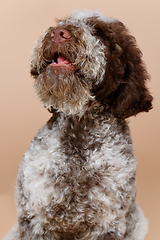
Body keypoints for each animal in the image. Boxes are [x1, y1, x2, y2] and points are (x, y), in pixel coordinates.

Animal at [3, 9, 152, 240]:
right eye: (64, 22)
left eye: (100, 34)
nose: (57, 33)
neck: (78, 127)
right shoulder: (34, 218)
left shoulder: (107, 224)